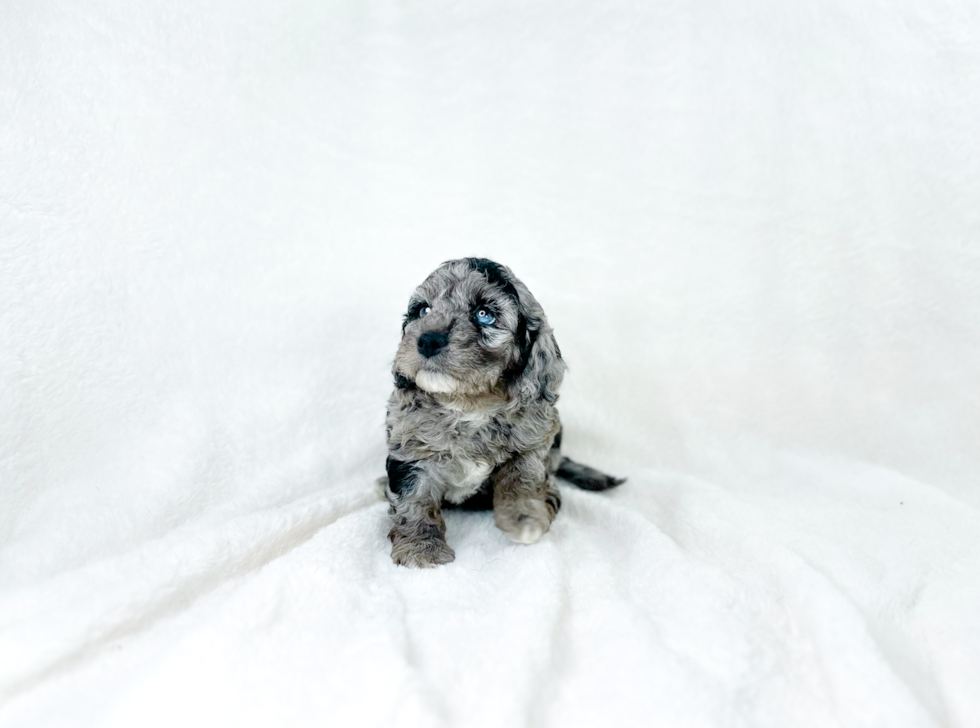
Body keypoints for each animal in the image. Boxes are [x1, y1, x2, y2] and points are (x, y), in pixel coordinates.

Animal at [380, 258, 620, 568]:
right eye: (423, 311)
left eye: (484, 315)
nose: (428, 340)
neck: (469, 406)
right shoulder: (410, 444)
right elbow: (414, 498)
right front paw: (421, 548)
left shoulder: (533, 441)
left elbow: (521, 479)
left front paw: (524, 520)